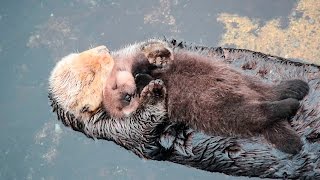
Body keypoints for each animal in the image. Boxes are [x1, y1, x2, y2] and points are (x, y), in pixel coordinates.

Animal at [103, 38, 310, 154]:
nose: (128, 93)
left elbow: (144, 64)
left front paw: (152, 63)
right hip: (227, 110)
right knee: (261, 111)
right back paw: (292, 104)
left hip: (235, 80)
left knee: (268, 93)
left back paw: (295, 90)